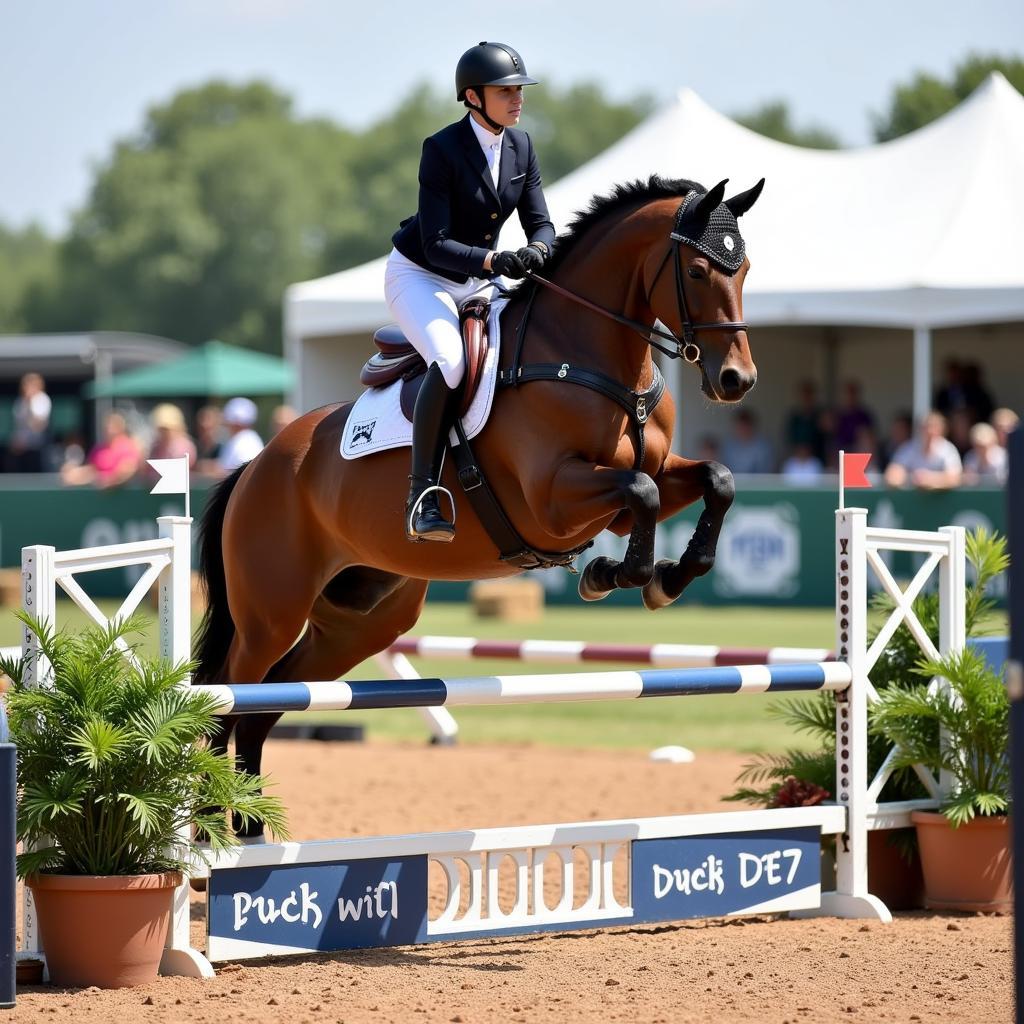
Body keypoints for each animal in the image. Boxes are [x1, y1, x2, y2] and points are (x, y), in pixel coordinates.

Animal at [195, 174, 765, 831]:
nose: (737, 381)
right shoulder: (553, 500)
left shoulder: (641, 485)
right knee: (228, 697)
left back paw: (251, 826)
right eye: (697, 271)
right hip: (271, 614)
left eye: (745, 269)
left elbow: (714, 480)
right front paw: (613, 574)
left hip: (361, 621)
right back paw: (211, 824)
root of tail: (257, 464)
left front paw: (663, 576)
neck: (588, 356)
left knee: (265, 705)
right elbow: (641, 494)